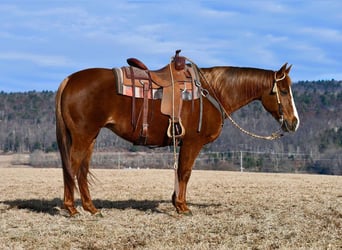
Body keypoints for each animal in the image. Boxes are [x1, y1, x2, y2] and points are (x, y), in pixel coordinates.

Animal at [55, 58, 300, 215]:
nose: (294, 122)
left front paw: (176, 203)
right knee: (72, 166)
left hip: (90, 137)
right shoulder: (193, 142)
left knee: (82, 169)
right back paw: (72, 208)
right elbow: (185, 172)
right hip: (83, 136)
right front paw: (182, 206)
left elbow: (180, 171)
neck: (212, 92)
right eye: (284, 91)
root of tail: (69, 79)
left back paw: (91, 208)